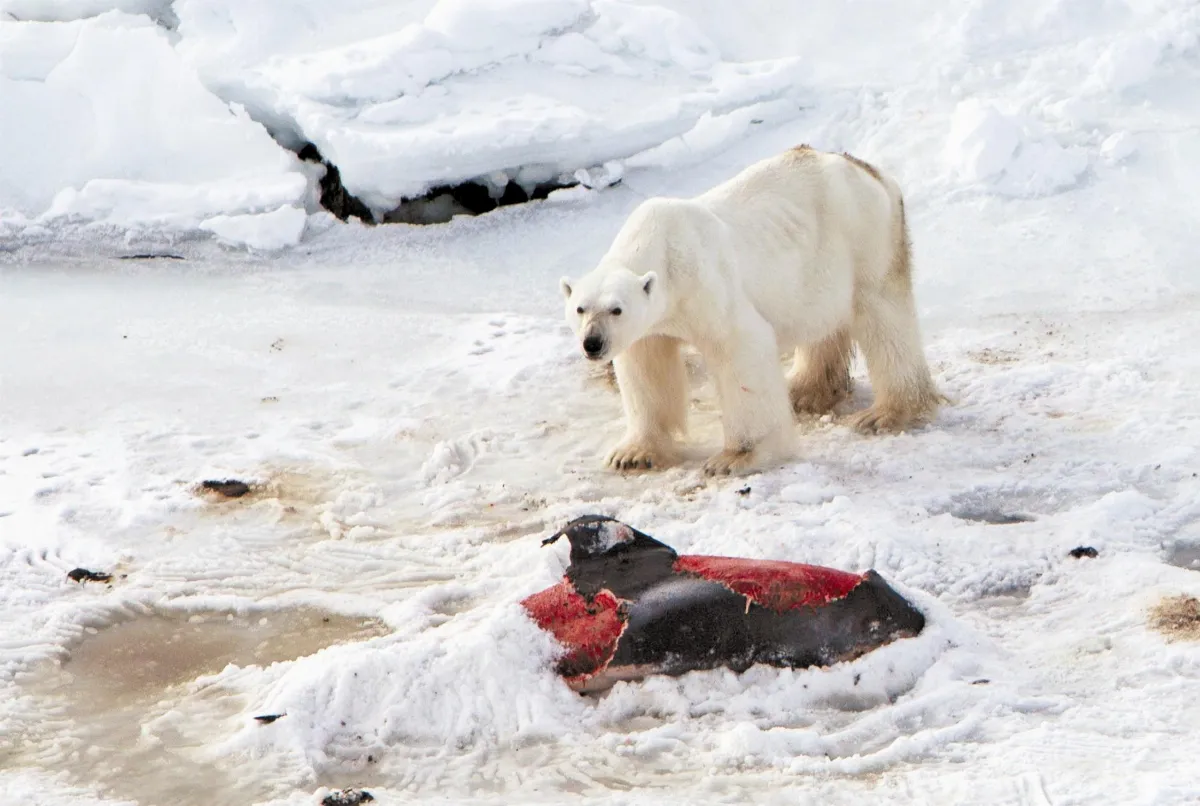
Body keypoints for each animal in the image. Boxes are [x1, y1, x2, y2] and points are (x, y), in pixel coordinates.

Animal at [559, 145, 943, 476]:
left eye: (617, 309)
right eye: (580, 309)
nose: (592, 344)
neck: (661, 247)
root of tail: (869, 169)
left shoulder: (705, 287)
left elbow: (740, 348)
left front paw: (735, 457)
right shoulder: (651, 326)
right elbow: (646, 367)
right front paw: (632, 454)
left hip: (864, 239)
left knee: (884, 315)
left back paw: (885, 412)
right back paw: (802, 390)